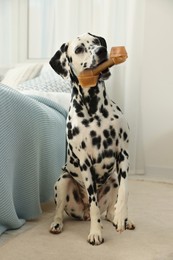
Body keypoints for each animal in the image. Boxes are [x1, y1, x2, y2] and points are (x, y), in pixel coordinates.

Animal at [49, 33, 135, 246]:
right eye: (79, 49)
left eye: (97, 42)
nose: (102, 51)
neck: (95, 109)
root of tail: (83, 214)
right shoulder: (85, 163)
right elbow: (94, 205)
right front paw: (95, 233)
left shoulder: (123, 155)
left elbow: (125, 192)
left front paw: (122, 217)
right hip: (62, 181)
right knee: (60, 211)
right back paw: (57, 224)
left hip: (112, 180)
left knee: (108, 212)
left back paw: (120, 219)